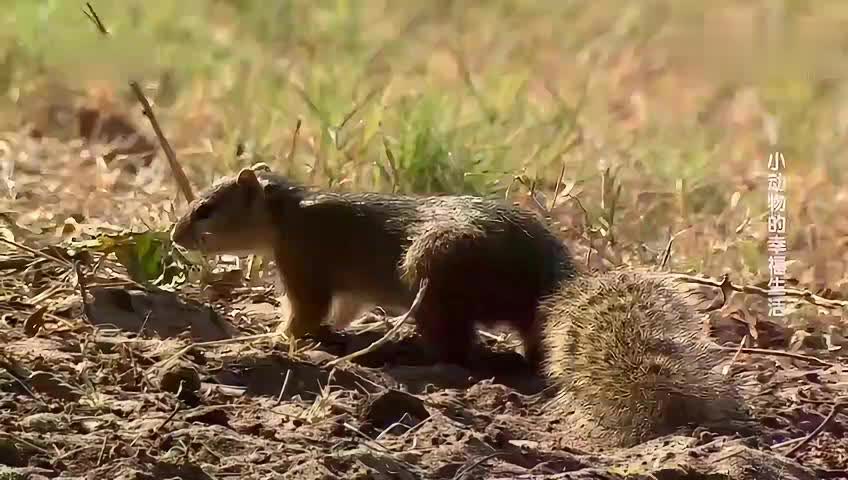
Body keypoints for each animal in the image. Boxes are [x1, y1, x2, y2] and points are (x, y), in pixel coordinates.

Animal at [169, 164, 572, 364]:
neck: (289, 214)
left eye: (206, 210)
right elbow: (341, 312)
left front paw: (273, 337)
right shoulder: (349, 293)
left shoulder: (303, 267)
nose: (174, 235)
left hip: (428, 270)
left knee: (457, 350)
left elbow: (303, 316)